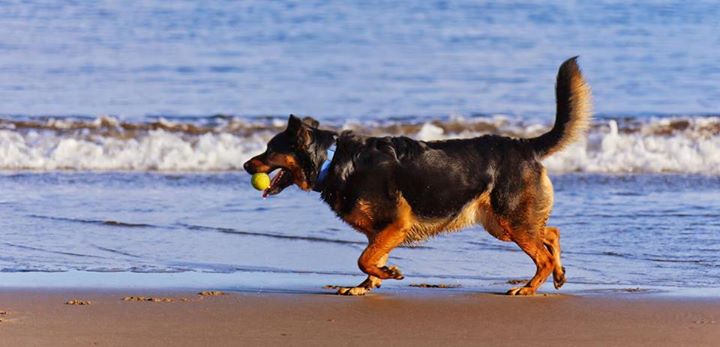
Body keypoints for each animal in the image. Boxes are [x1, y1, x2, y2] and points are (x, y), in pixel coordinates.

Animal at [243, 57, 592, 296]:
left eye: (270, 149)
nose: (245, 166)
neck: (332, 160)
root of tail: (525, 145)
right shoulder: (381, 231)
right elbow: (370, 256)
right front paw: (366, 284)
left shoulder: (395, 225)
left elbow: (364, 258)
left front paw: (387, 273)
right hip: (501, 223)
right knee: (551, 233)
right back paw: (558, 274)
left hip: (509, 221)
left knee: (542, 253)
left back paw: (529, 287)